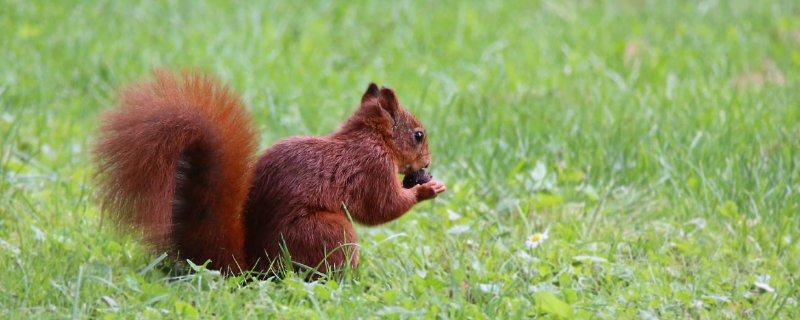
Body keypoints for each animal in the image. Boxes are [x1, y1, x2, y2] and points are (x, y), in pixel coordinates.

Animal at [92, 70, 450, 278]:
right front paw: (425, 190)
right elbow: (381, 208)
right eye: (418, 135)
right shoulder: (371, 168)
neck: (370, 139)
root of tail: (252, 265)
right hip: (328, 233)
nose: (427, 163)